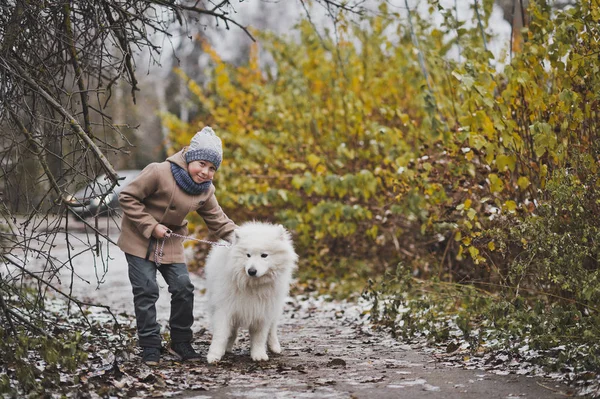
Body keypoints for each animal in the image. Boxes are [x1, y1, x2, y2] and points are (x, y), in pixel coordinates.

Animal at [204, 222, 298, 362]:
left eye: (264, 255)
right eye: (247, 255)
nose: (251, 271)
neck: (253, 285)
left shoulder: (262, 311)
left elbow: (260, 336)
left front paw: (259, 355)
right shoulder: (225, 307)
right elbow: (221, 334)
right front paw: (214, 355)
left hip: (275, 308)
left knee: (272, 329)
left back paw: (274, 346)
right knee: (232, 331)